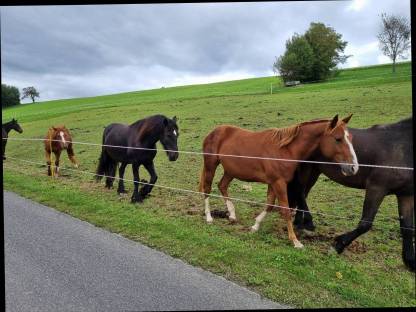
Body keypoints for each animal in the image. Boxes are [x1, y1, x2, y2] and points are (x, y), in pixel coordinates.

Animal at [198, 114, 358, 249]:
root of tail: (214, 132)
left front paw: (255, 225)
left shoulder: (273, 183)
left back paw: (231, 214)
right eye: (338, 139)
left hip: (230, 171)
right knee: (207, 189)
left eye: (350, 138)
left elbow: (269, 205)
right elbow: (285, 210)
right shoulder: (278, 182)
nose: (353, 168)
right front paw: (295, 241)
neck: (286, 150)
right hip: (211, 165)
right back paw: (209, 217)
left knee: (222, 186)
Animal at [290, 117, 414, 270]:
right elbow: (365, 224)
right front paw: (338, 246)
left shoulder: (406, 195)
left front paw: (410, 261)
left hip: (314, 171)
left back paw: (299, 223)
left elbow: (407, 228)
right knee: (300, 191)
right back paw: (307, 223)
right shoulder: (376, 188)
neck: (403, 145)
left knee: (302, 193)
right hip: (306, 169)